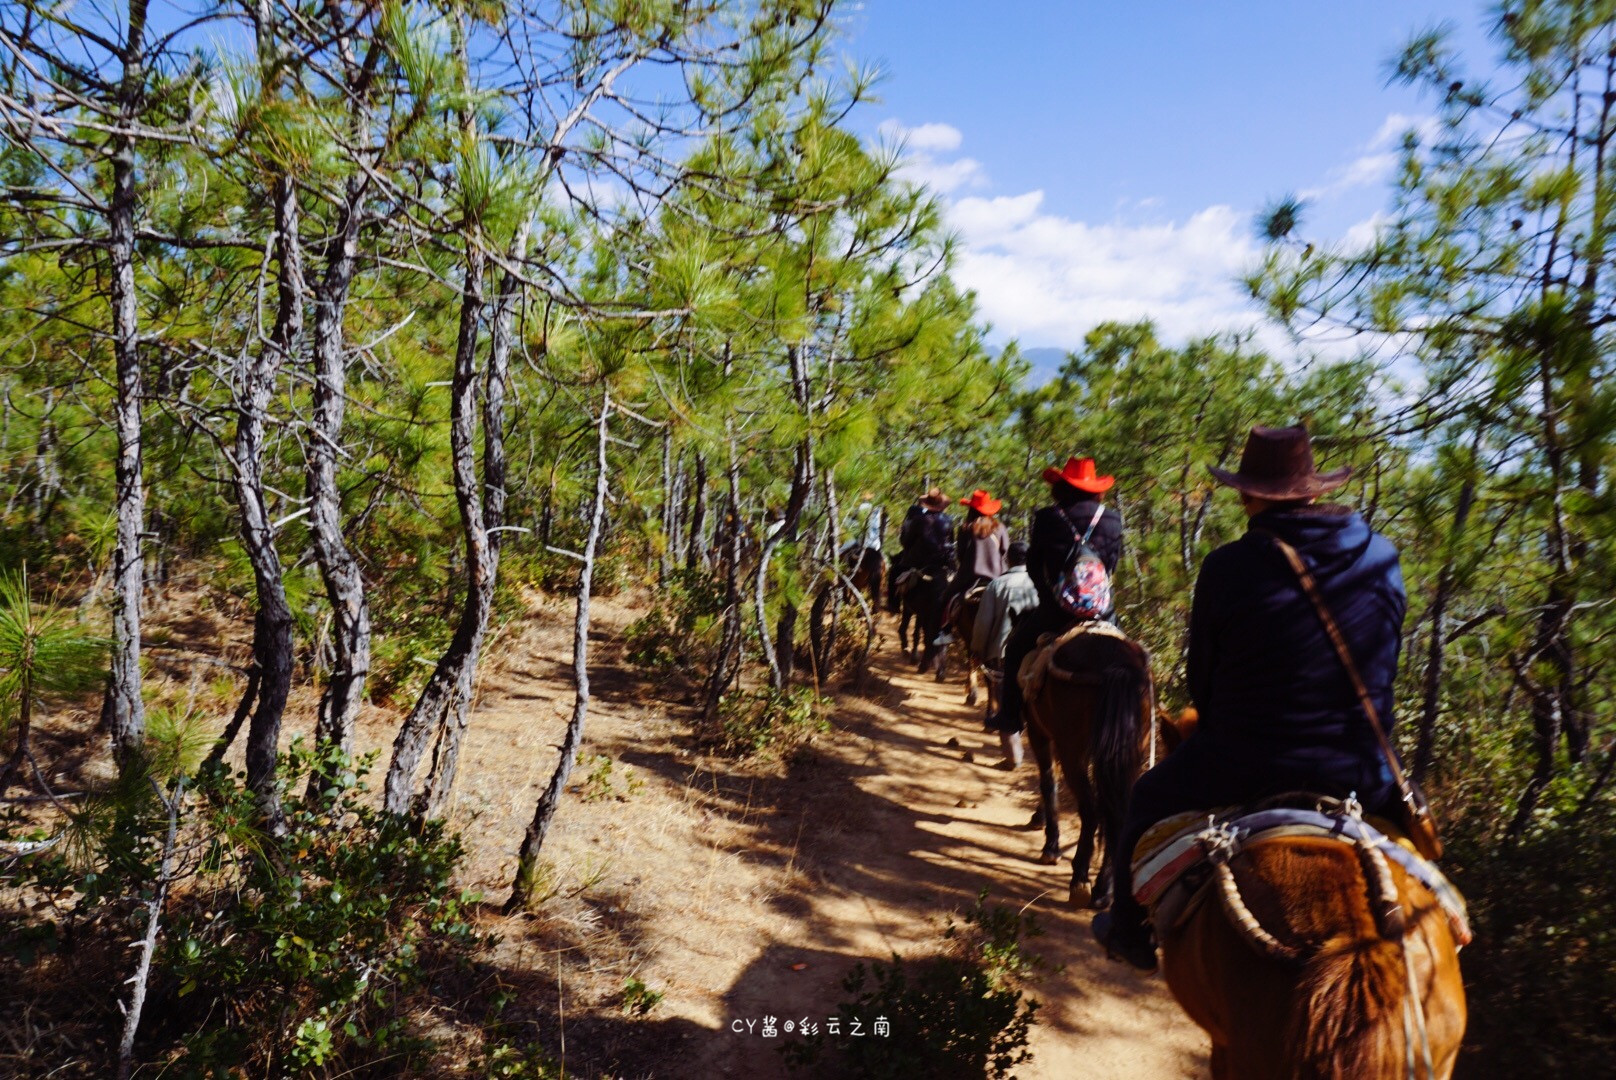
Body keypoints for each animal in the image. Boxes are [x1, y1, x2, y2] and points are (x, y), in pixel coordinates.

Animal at [1014, 624, 1157, 911]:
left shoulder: (1040, 733)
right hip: (1131, 755)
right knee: (1115, 813)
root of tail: (1116, 664)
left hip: (1073, 751)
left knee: (1090, 809)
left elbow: (1048, 781)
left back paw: (1080, 880)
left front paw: (1051, 845)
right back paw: (1103, 890)